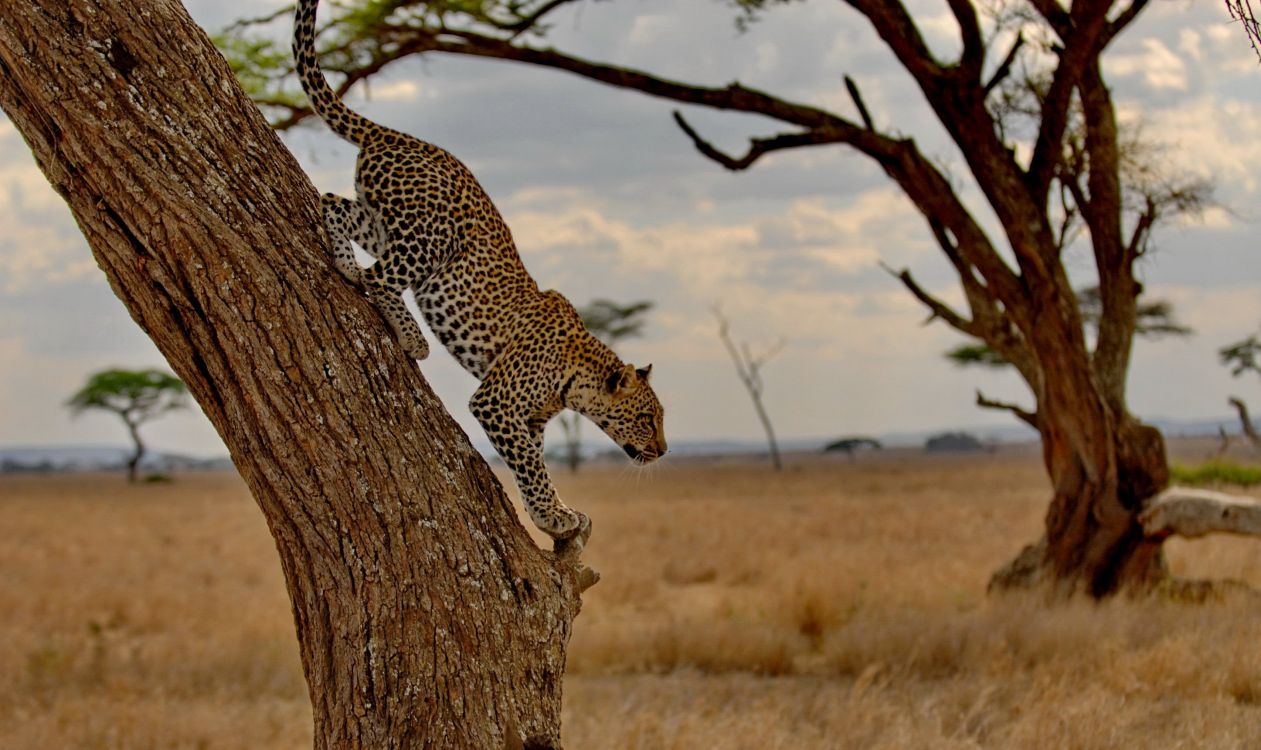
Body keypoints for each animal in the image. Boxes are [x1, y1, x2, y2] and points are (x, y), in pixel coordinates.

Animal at [293, 0, 668, 542]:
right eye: (646, 417)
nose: (663, 451)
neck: (576, 377)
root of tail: (397, 134)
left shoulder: (529, 420)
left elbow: (535, 465)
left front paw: (554, 514)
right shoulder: (497, 402)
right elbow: (531, 467)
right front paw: (554, 516)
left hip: (387, 221)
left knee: (332, 204)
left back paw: (344, 264)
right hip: (432, 234)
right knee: (380, 277)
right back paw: (411, 337)